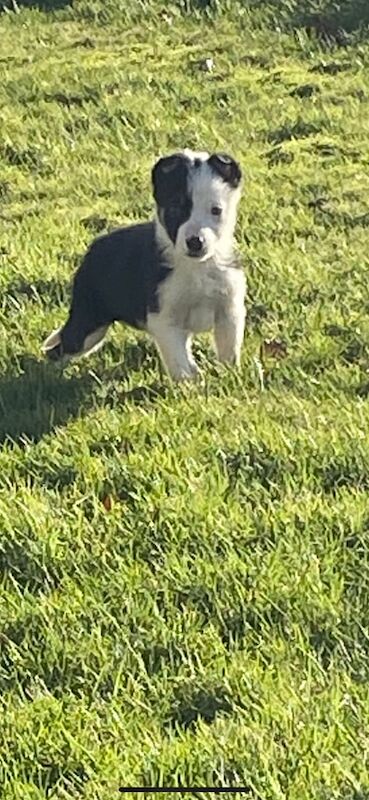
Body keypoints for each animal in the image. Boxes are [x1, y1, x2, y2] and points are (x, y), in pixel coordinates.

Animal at [43, 149, 244, 382]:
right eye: (176, 207)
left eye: (216, 210)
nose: (195, 242)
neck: (196, 267)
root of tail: (93, 249)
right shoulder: (164, 319)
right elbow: (178, 361)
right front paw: (189, 385)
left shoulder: (229, 310)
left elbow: (229, 351)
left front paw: (230, 377)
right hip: (88, 324)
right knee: (59, 348)